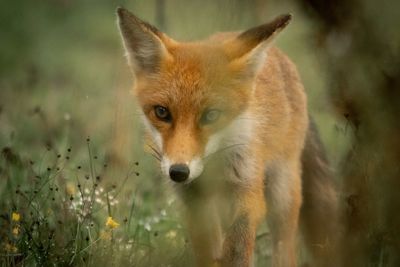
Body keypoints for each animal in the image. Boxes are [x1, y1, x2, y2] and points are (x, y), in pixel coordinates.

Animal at [117, 6, 340, 267]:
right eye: (162, 112)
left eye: (211, 115)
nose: (179, 172)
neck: (213, 166)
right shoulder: (194, 201)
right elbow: (207, 250)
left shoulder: (249, 190)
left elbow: (238, 247)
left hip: (282, 193)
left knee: (285, 249)